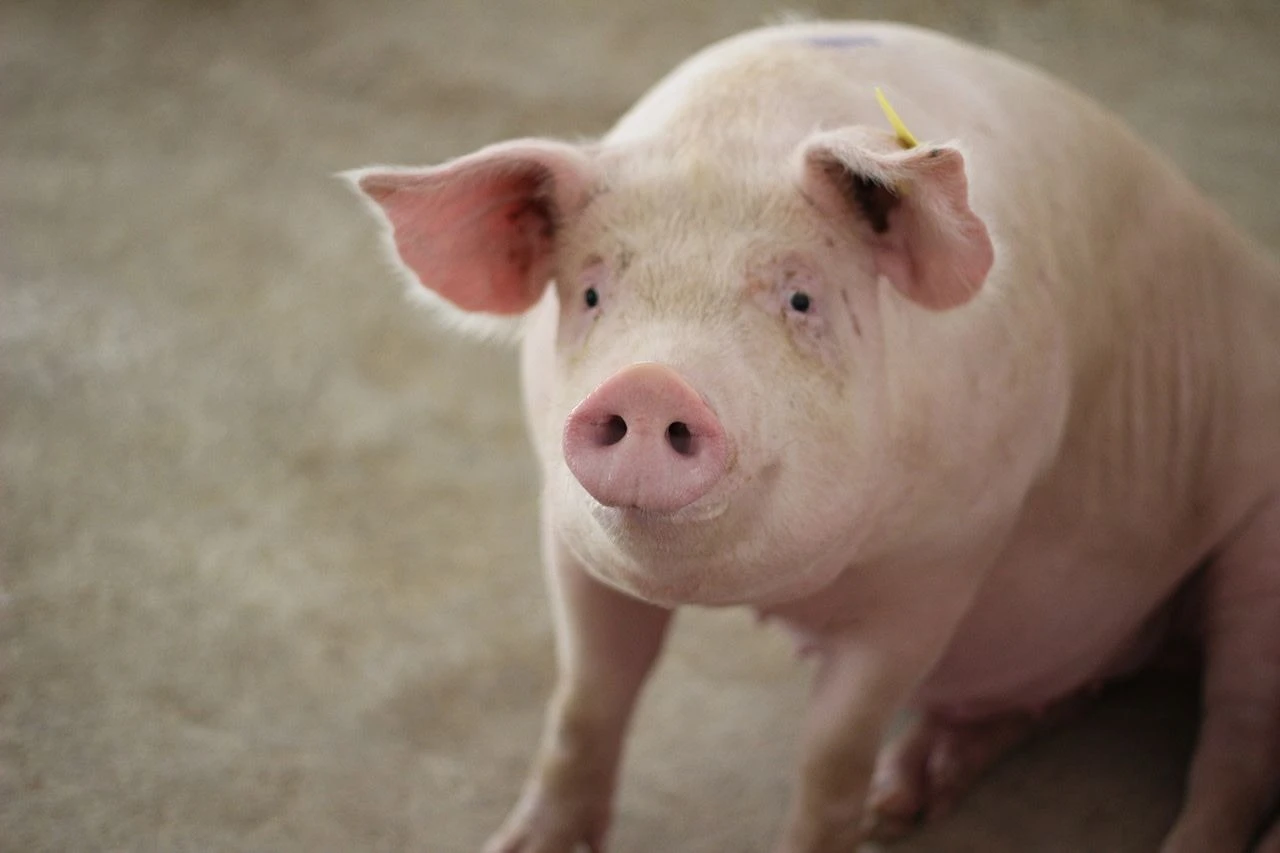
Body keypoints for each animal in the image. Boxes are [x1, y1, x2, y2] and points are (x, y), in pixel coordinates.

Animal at [344, 20, 1280, 853]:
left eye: (800, 297)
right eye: (592, 292)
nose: (649, 383)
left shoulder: (943, 560)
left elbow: (831, 755)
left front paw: (848, 815)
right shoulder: (567, 533)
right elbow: (585, 699)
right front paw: (518, 845)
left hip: (1258, 557)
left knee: (1235, 742)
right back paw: (903, 800)